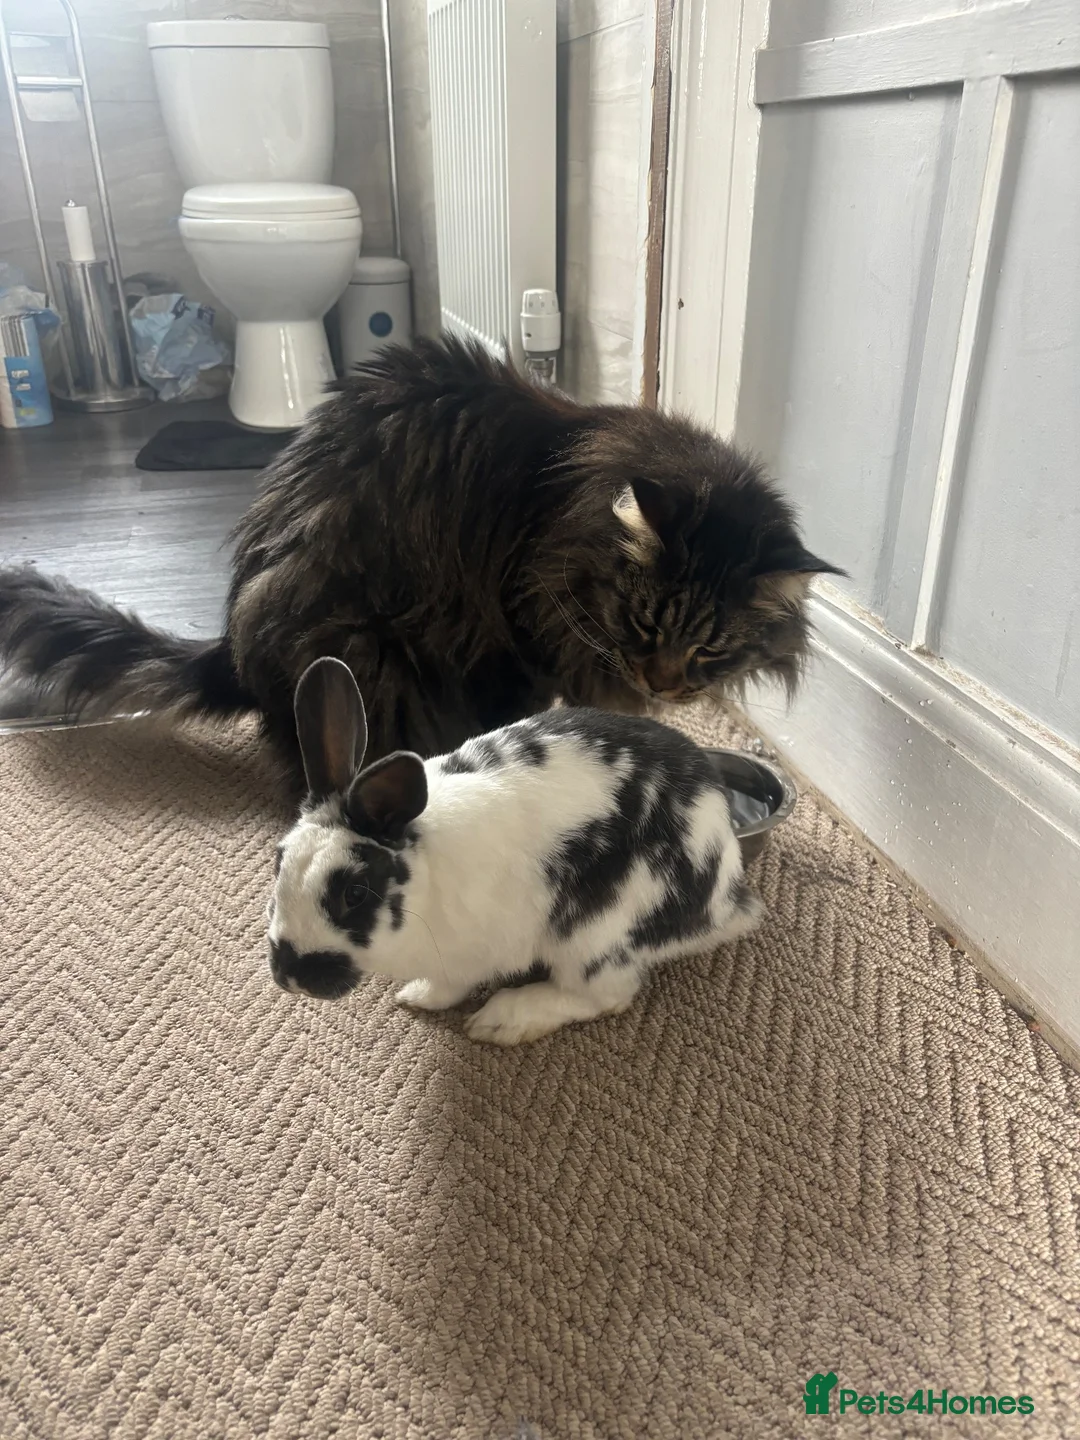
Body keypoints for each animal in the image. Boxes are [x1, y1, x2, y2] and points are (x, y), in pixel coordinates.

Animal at [266, 656, 764, 1045]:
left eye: (355, 893)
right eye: (277, 862)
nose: (291, 975)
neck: (424, 876)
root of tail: (726, 899)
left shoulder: (470, 952)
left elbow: (453, 984)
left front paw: (421, 997)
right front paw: (415, 996)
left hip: (594, 935)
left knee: (605, 995)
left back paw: (503, 1021)